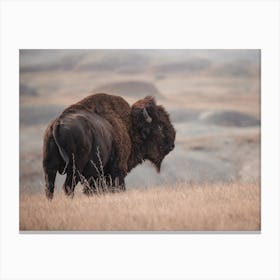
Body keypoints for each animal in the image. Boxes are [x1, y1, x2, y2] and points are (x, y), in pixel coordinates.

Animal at [42, 94, 175, 199]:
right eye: (160, 126)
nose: (172, 145)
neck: (130, 126)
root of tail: (57, 124)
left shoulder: (97, 175)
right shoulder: (116, 170)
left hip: (49, 168)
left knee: (50, 188)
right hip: (75, 169)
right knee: (68, 187)